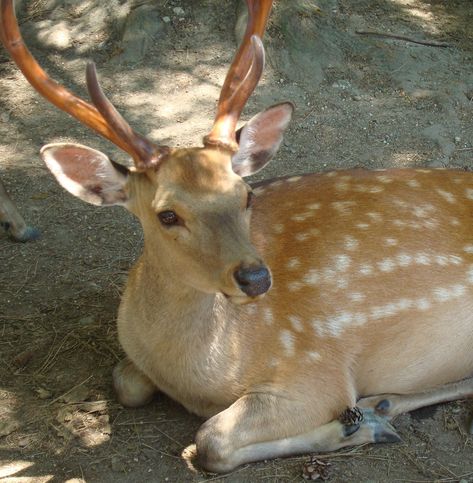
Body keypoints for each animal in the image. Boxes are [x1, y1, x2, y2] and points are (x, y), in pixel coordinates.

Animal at [1, 0, 470, 474]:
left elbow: (211, 440)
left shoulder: (316, 370)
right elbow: (125, 383)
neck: (200, 376)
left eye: (245, 194)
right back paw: (383, 405)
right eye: (167, 214)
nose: (257, 279)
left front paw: (351, 426)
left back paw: (375, 412)